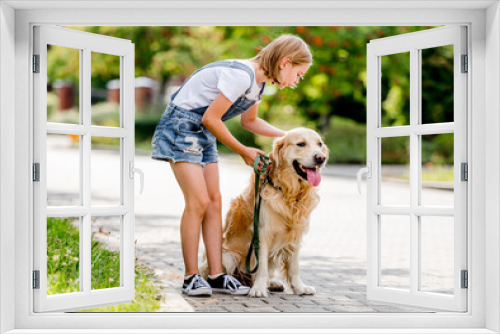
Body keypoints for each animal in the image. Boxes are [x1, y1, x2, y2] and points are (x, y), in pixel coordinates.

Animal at [201, 128, 326, 298]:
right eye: (301, 144)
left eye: (319, 144)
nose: (321, 158)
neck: (288, 192)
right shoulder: (262, 234)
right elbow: (261, 268)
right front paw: (259, 289)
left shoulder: (295, 234)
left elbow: (294, 267)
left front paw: (300, 288)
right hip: (227, 257)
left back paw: (272, 284)